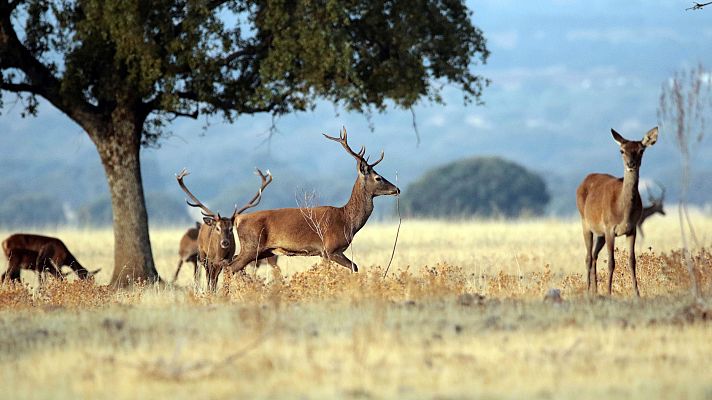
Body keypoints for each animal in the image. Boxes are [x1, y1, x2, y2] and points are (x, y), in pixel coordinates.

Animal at [225, 128, 398, 276]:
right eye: (378, 178)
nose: (397, 189)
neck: (347, 221)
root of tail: (238, 219)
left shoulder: (323, 253)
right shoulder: (330, 249)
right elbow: (353, 267)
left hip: (262, 251)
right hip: (251, 247)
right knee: (230, 267)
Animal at [576, 126, 660, 296]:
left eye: (641, 150)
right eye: (621, 150)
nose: (631, 164)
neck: (623, 211)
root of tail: (584, 180)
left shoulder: (632, 228)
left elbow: (632, 260)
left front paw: (637, 293)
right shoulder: (610, 228)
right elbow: (611, 262)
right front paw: (609, 292)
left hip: (600, 233)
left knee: (594, 255)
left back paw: (595, 290)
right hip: (585, 222)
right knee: (588, 257)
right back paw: (588, 290)